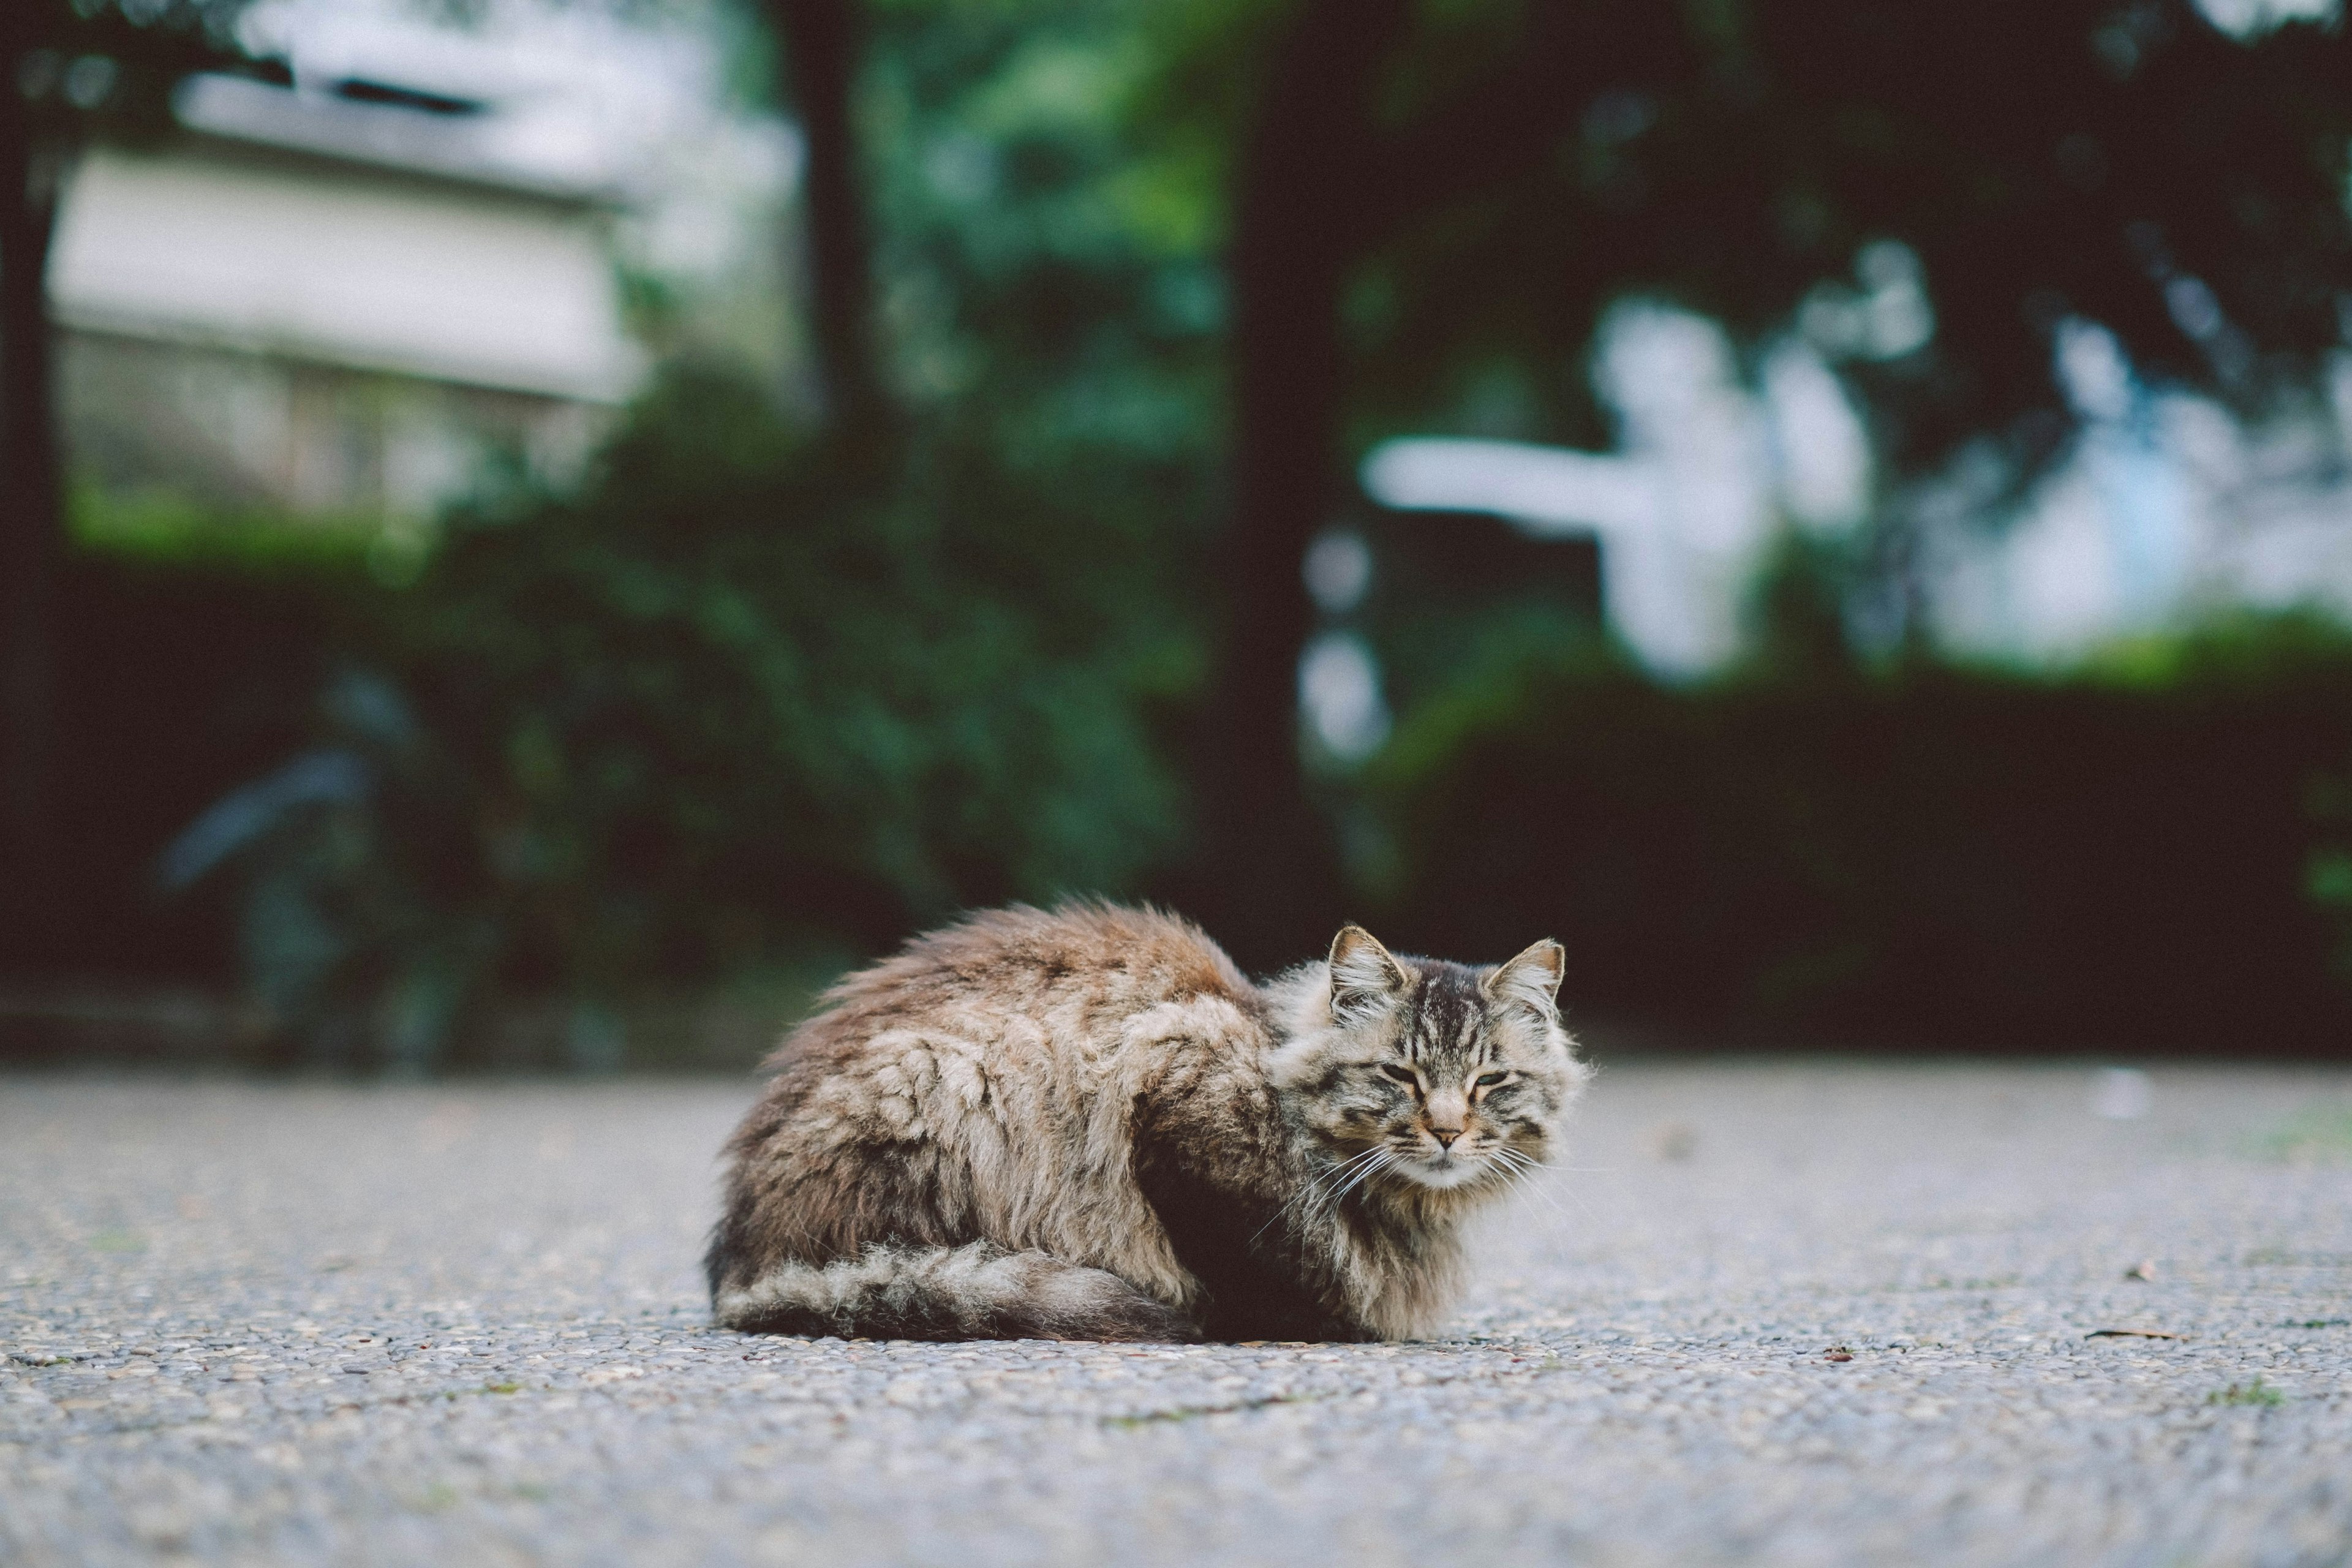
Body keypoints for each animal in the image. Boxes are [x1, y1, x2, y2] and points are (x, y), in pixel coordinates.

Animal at [696, 902, 1580, 1344]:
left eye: (1490, 1083)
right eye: (1400, 1075)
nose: (1447, 1132)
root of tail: (739, 1262)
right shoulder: (1172, 1087)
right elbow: (1251, 1262)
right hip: (954, 1082)